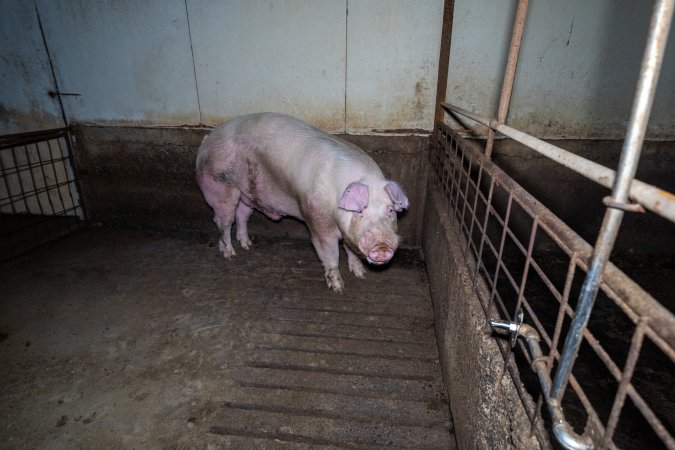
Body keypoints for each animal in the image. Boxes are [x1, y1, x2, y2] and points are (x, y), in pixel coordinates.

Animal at [193, 113, 410, 292]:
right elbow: (330, 255)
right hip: (220, 187)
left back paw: (247, 245)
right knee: (222, 222)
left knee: (242, 216)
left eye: (390, 210)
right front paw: (339, 287)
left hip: (246, 194)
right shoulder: (317, 223)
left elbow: (352, 252)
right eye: (360, 211)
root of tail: (207, 139)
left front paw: (361, 275)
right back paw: (230, 254)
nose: (382, 247)